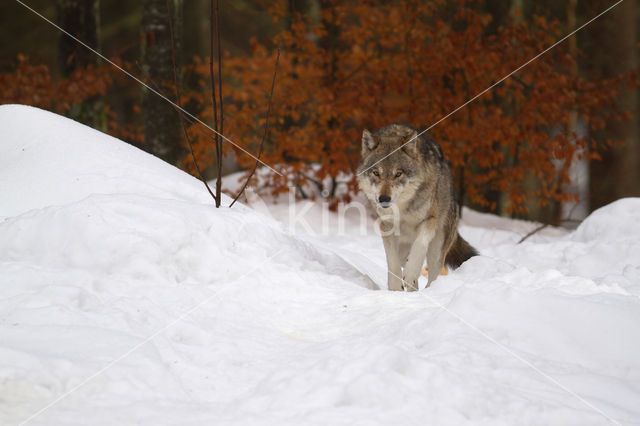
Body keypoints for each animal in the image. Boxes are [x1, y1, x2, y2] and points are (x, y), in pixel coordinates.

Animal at [358, 121, 478, 292]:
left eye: (398, 174)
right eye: (376, 173)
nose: (384, 199)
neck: (402, 209)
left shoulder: (429, 220)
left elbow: (419, 247)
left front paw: (410, 274)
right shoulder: (386, 227)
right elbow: (392, 262)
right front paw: (395, 289)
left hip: (437, 247)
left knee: (433, 273)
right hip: (403, 249)